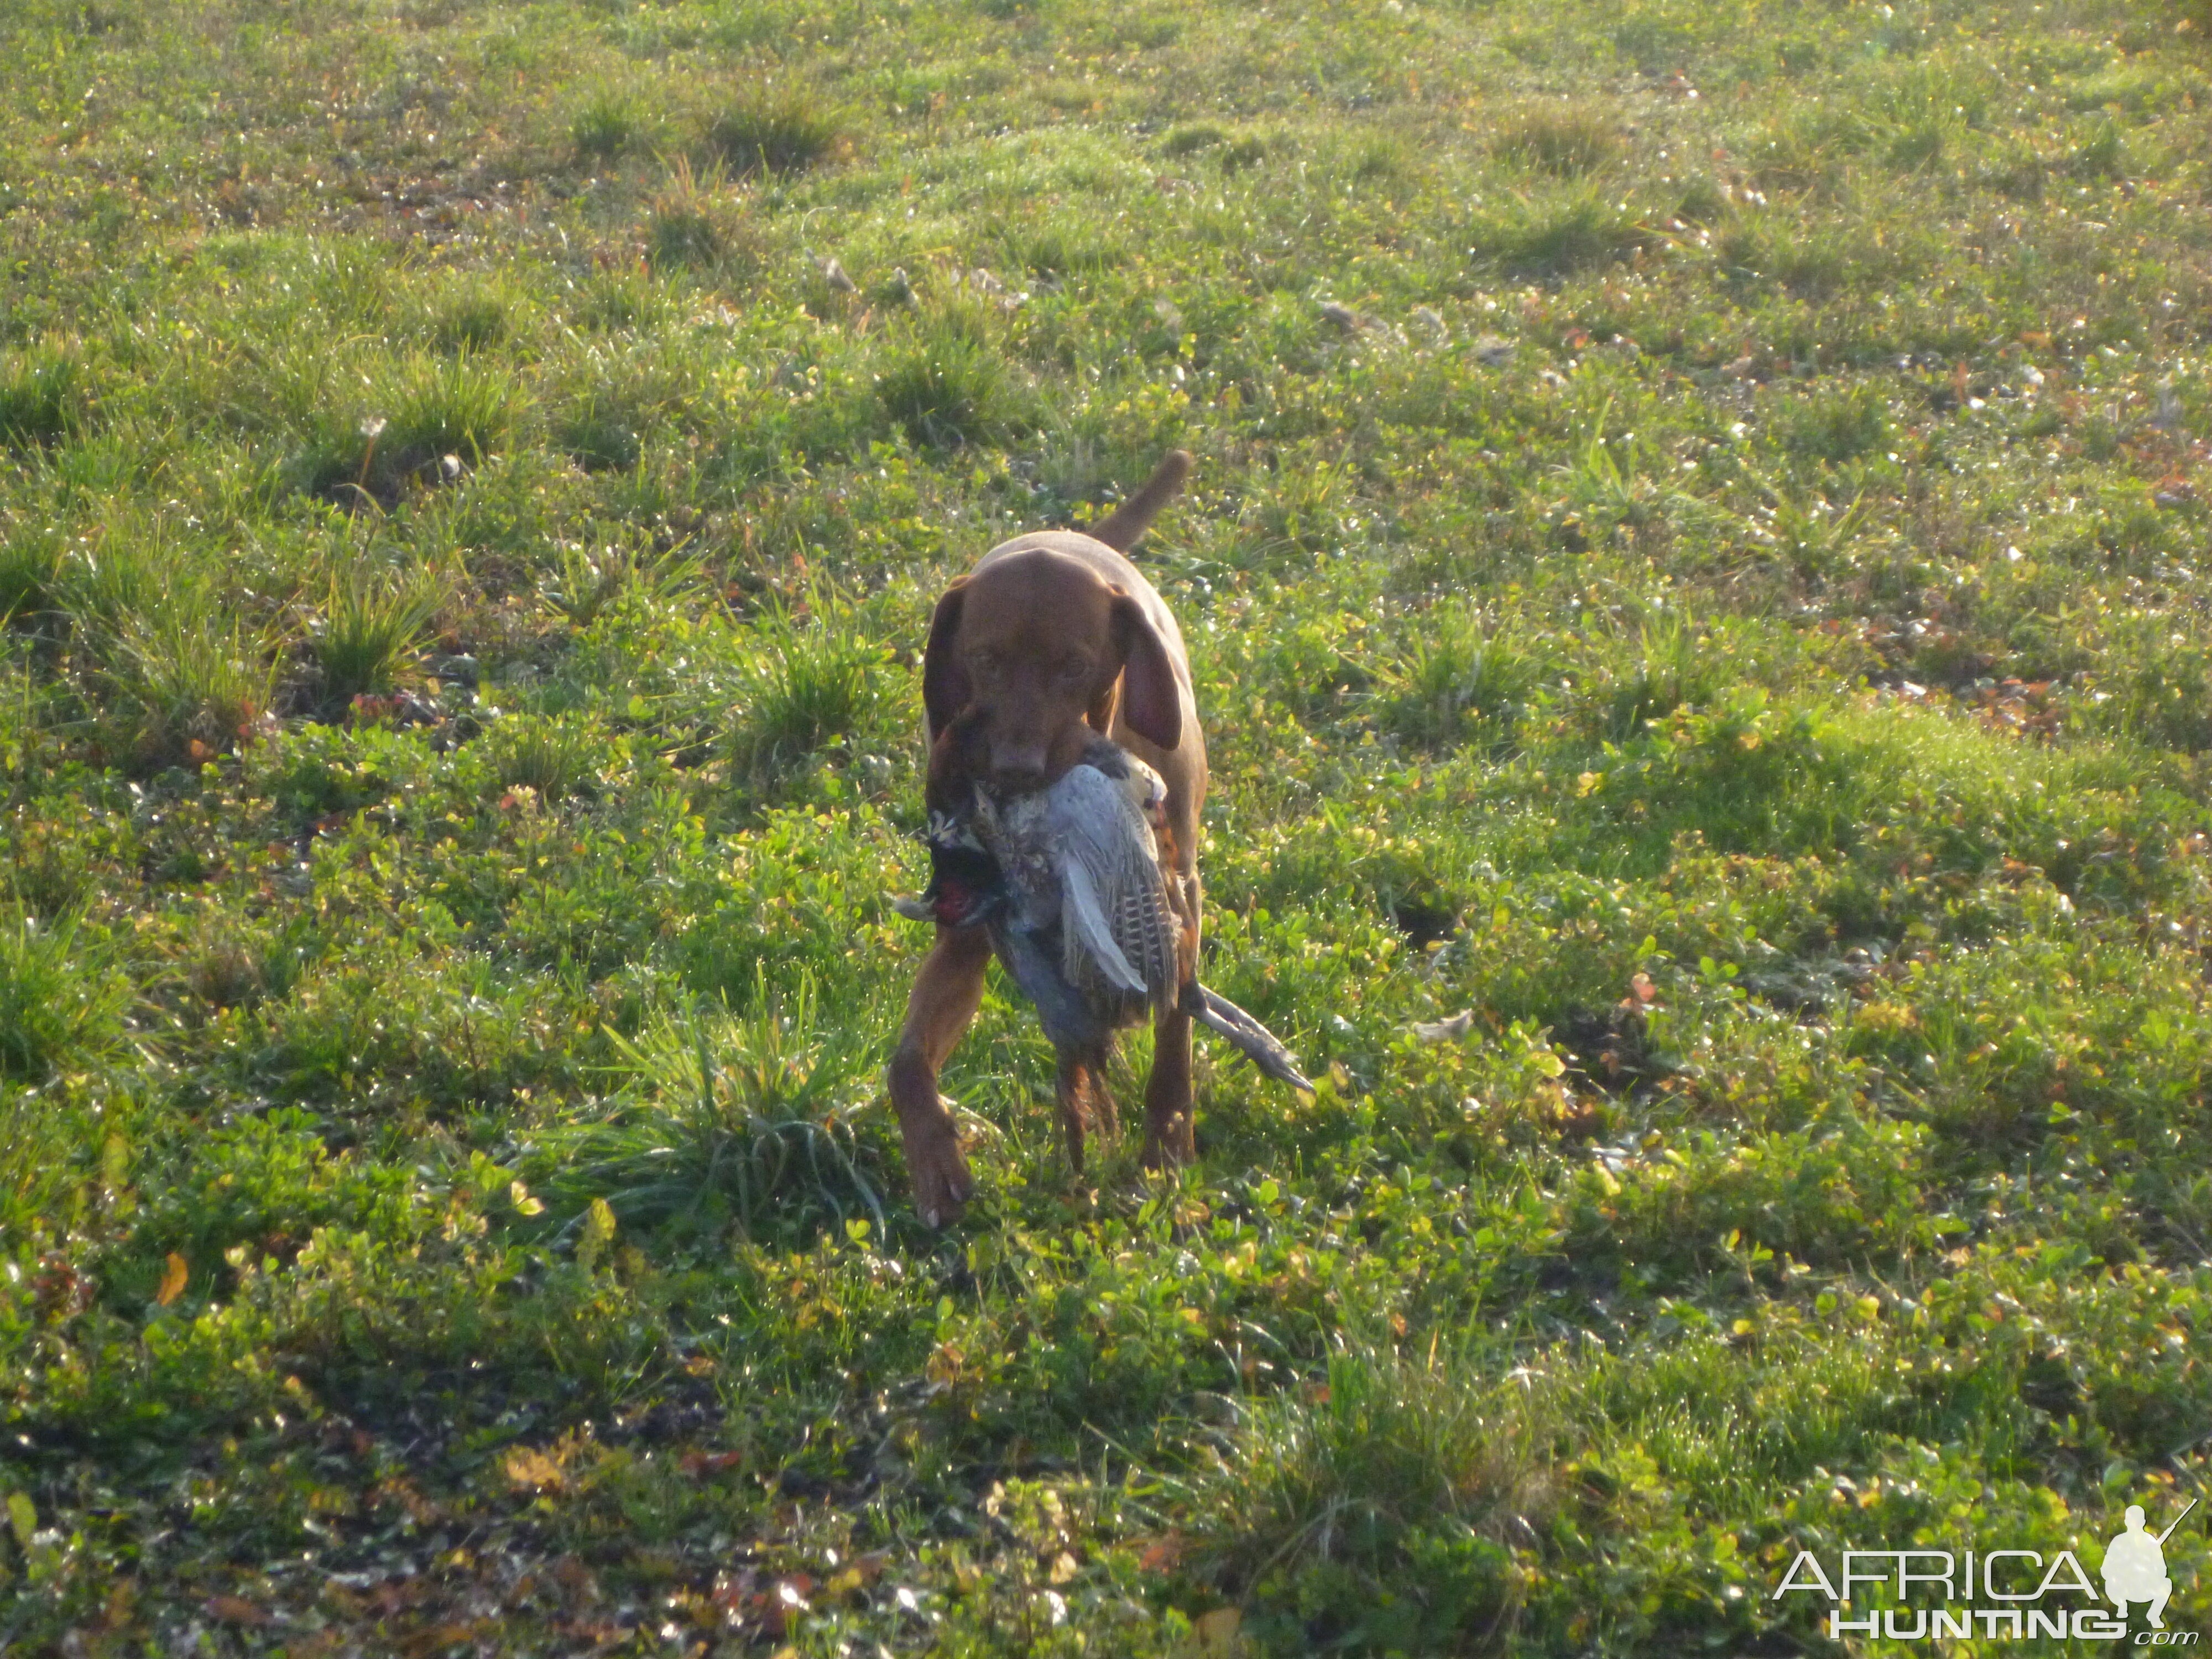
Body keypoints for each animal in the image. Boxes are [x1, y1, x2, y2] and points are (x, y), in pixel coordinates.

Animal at [885, 449, 1212, 1230]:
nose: (1013, 770)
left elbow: (1175, 1029)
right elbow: (906, 1061)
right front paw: (935, 1159)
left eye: (1074, 665)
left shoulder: (1180, 898)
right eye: (985, 660)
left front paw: (1166, 1143)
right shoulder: (966, 925)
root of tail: (1074, 535)